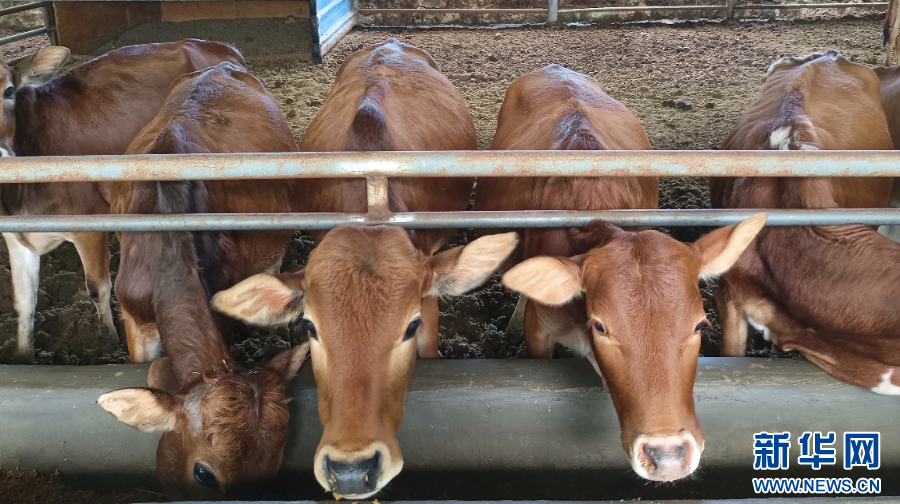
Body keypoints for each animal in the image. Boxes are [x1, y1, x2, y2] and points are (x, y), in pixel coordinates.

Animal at [1, 39, 244, 363]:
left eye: (8, 91)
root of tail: (216, 44)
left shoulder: (87, 223)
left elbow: (97, 288)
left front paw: (107, 339)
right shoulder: (16, 236)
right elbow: (24, 301)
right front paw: (22, 355)